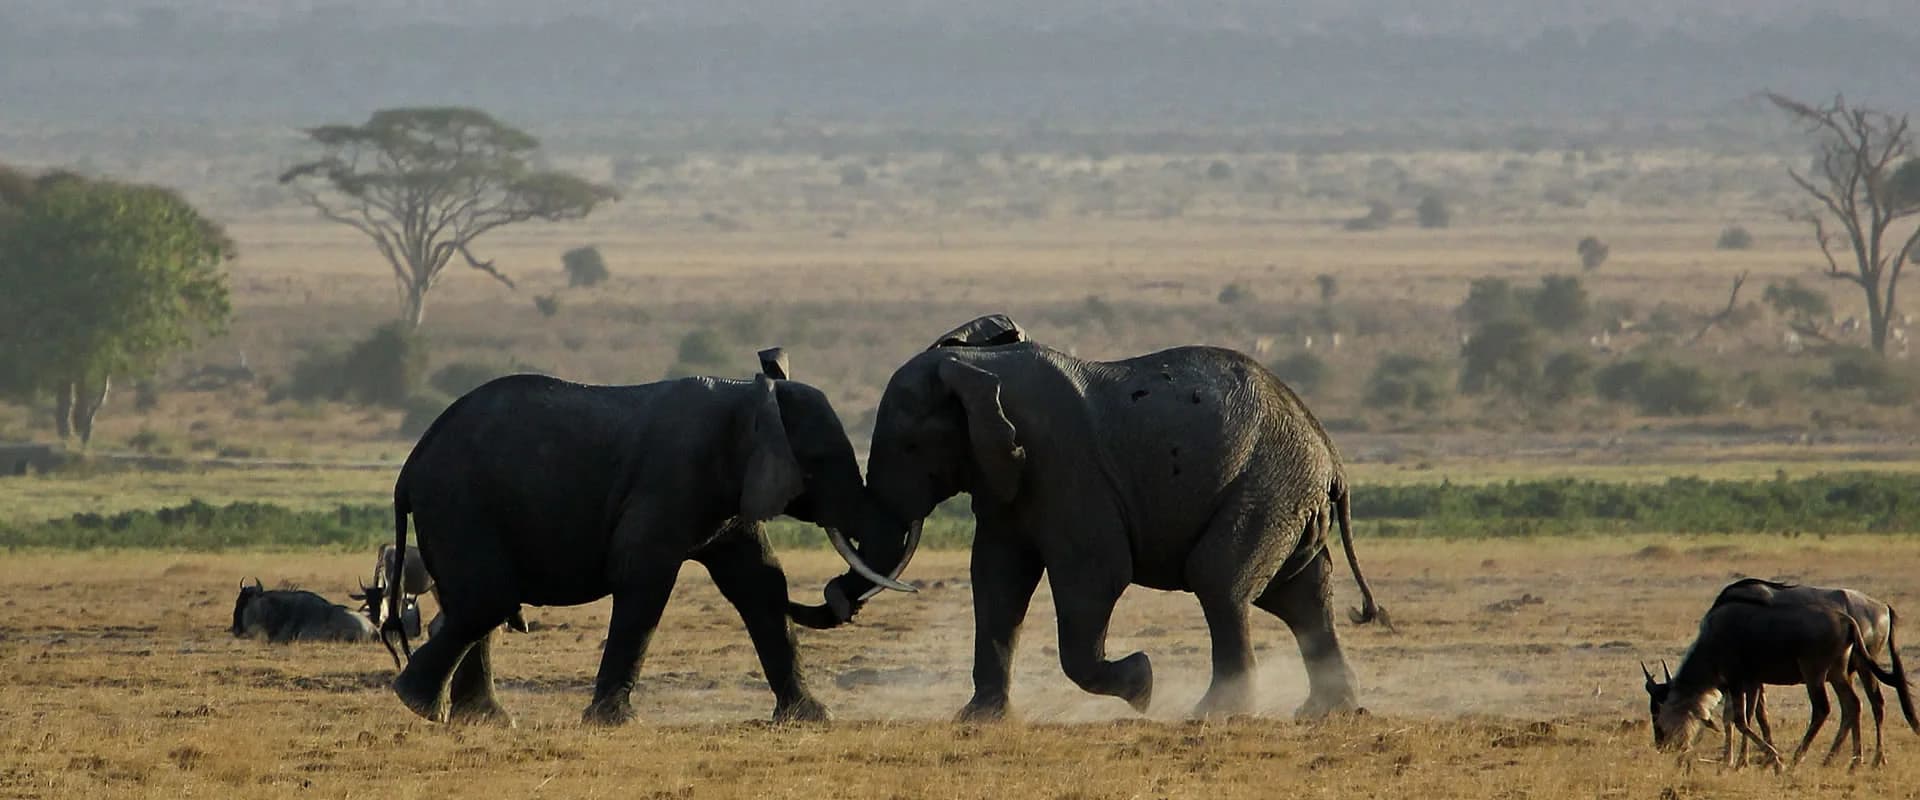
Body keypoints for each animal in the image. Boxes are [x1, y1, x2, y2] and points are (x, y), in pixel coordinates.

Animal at [383, 348, 920, 726]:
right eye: (821, 462)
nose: (839, 594)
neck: (748, 398)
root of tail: (409, 467)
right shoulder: (671, 477)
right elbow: (644, 578)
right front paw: (614, 723)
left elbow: (761, 583)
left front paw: (813, 718)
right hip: (459, 504)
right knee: (488, 599)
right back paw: (417, 704)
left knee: (478, 603)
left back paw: (481, 719)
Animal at [861, 315, 1388, 721]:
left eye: (908, 446)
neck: (978, 366)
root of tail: (1331, 457)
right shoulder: (1005, 479)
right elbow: (997, 577)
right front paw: (978, 721)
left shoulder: (1067, 467)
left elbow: (1095, 575)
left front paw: (1142, 686)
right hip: (1287, 496)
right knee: (1300, 595)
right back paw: (1326, 712)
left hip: (1269, 486)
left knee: (1220, 582)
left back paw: (1214, 714)